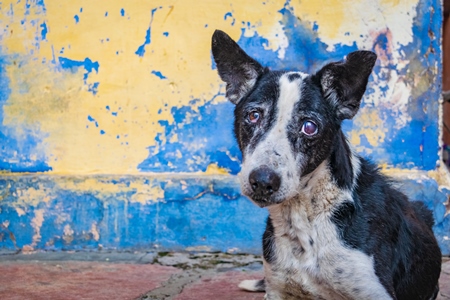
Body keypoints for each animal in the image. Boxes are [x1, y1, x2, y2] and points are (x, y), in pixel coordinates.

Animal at [212, 28, 442, 300]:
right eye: (253, 115)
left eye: (309, 127)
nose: (262, 181)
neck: (304, 216)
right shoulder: (278, 288)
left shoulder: (374, 292)